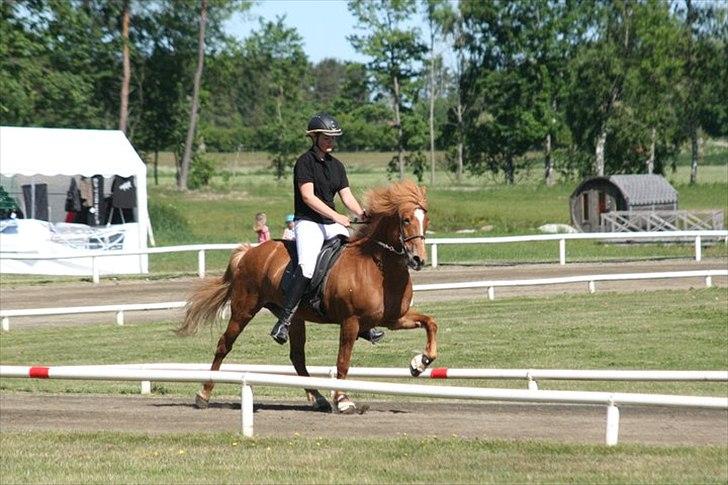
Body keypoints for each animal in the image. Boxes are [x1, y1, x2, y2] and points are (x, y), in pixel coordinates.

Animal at [178, 180, 438, 414]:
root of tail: (250, 251)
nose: (418, 260)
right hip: (244, 309)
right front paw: (343, 400)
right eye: (406, 220)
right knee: (224, 345)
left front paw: (420, 363)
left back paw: (318, 398)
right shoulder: (350, 322)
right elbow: (343, 361)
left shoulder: (393, 318)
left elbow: (430, 322)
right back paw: (203, 394)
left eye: (426, 220)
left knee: (297, 358)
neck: (378, 266)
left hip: (294, 317)